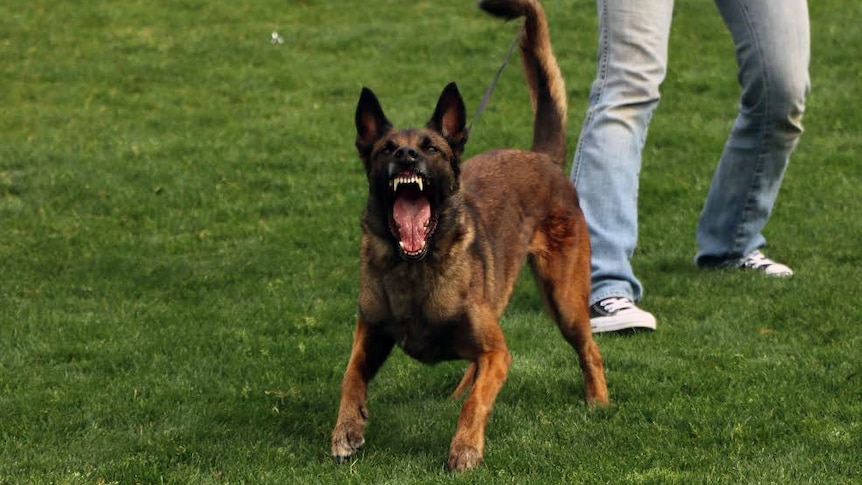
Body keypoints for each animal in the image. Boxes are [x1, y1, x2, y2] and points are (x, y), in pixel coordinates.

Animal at [330, 0, 608, 468]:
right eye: (386, 149)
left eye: (431, 148)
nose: (407, 155)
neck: (415, 267)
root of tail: (541, 157)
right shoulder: (371, 331)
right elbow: (350, 375)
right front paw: (347, 429)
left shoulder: (497, 350)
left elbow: (478, 401)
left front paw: (464, 448)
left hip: (565, 300)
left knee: (589, 350)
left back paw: (599, 403)